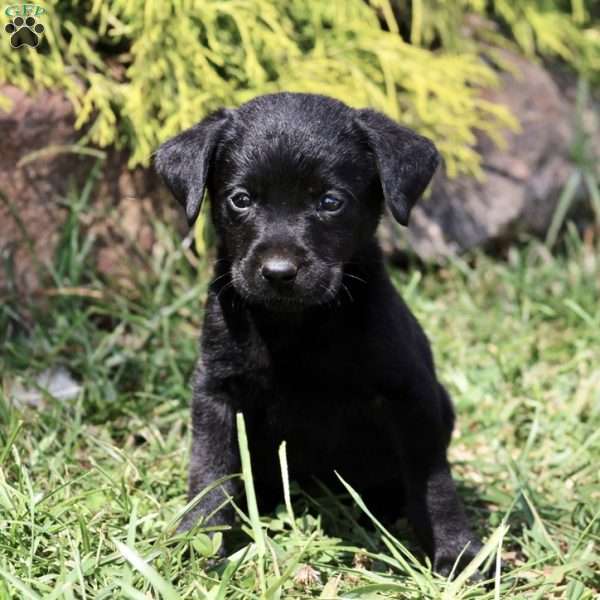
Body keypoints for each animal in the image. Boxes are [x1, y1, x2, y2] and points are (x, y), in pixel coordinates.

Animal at [156, 92, 482, 572]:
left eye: (330, 202)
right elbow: (211, 470)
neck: (296, 326)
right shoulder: (217, 389)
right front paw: (201, 538)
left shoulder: (411, 394)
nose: (278, 272)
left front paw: (458, 552)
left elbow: (433, 482)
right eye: (241, 199)